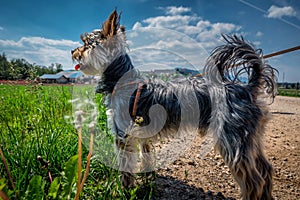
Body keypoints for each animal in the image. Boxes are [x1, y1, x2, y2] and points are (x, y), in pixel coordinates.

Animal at [71, 9, 278, 200]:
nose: (73, 51)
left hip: (232, 138)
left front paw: (124, 190)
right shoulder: (142, 135)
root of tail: (248, 87)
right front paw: (147, 179)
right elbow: (146, 158)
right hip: (250, 138)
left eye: (86, 44)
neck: (121, 80)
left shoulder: (123, 136)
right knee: (266, 170)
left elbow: (126, 168)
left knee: (255, 180)